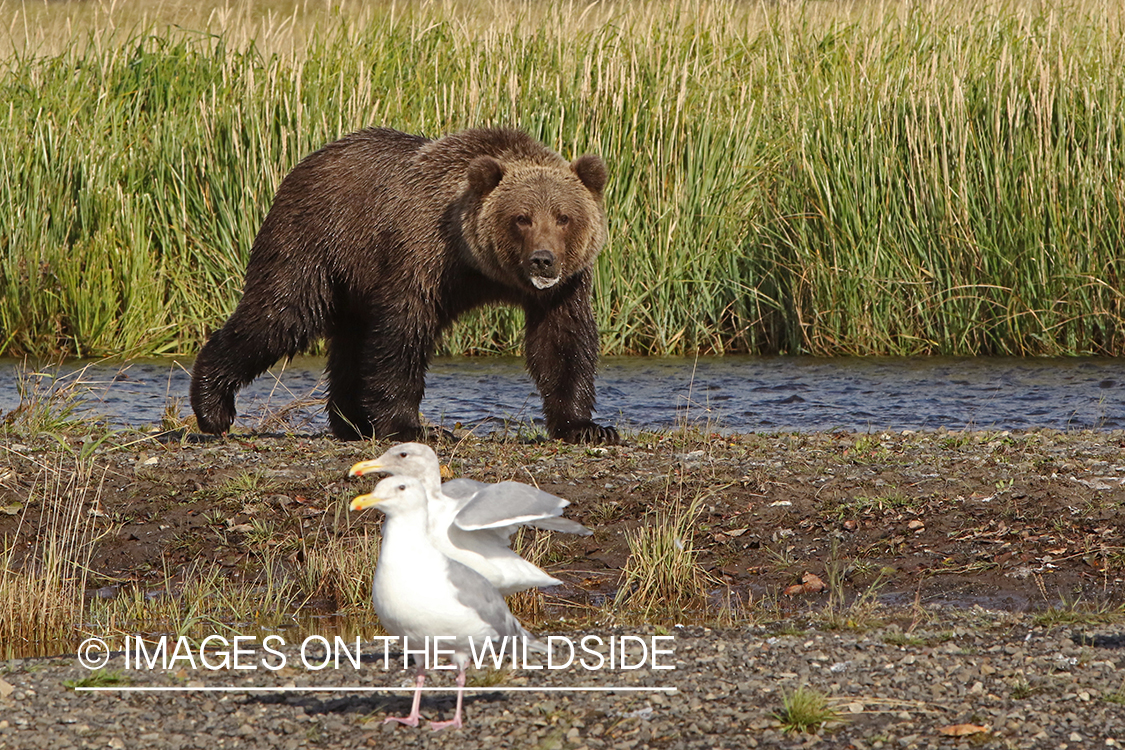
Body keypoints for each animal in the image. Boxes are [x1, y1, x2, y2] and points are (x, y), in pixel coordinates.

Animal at [189, 128, 621, 443]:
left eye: (563, 216)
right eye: (522, 217)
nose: (543, 259)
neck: (481, 268)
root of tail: (307, 162)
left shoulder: (561, 289)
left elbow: (561, 341)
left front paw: (588, 427)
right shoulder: (421, 255)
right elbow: (402, 334)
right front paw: (414, 427)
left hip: (352, 278)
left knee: (348, 344)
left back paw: (353, 422)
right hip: (314, 242)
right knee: (280, 314)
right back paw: (213, 406)